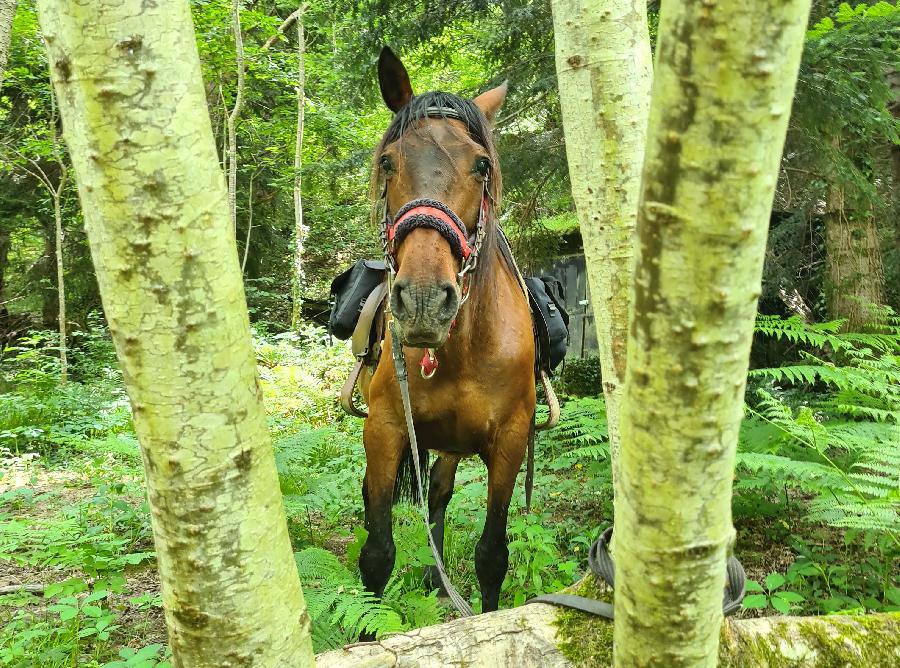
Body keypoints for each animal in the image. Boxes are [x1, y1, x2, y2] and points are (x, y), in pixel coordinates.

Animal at [352, 48, 536, 620]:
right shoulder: (386, 429)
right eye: (389, 162)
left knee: (439, 491)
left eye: (481, 165)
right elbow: (377, 553)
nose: (425, 302)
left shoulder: (510, 443)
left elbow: (492, 556)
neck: (460, 349)